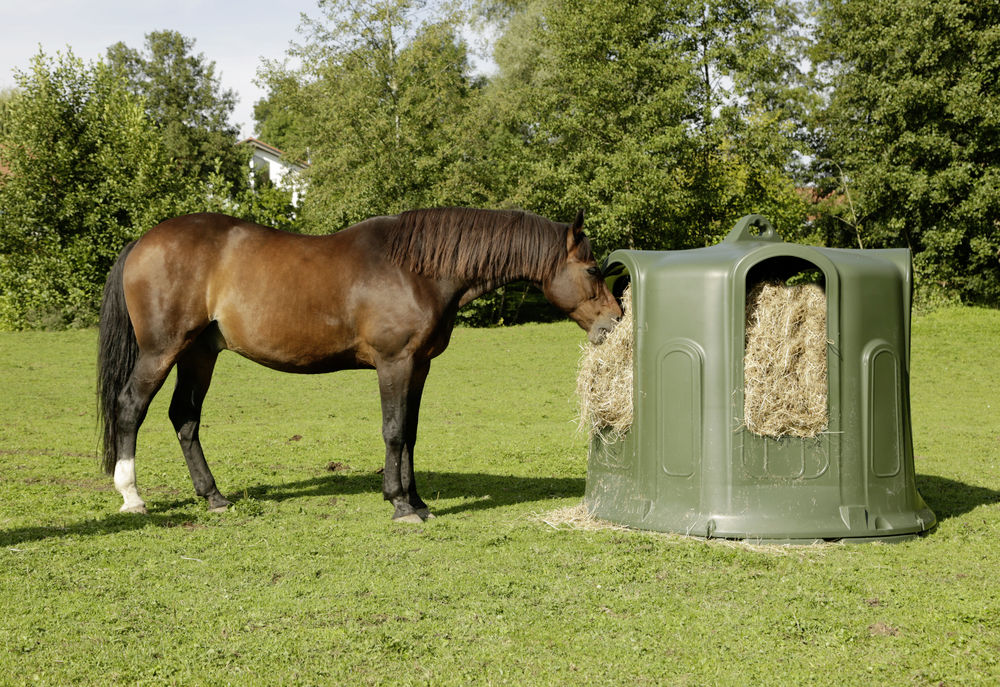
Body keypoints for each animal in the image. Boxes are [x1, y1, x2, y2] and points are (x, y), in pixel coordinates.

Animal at [97, 208, 620, 520]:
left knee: (185, 417)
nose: (615, 320)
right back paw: (132, 496)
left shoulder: (419, 366)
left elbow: (410, 432)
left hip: (199, 353)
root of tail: (143, 242)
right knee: (130, 408)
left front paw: (417, 500)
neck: (416, 269)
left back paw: (214, 497)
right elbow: (393, 431)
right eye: (593, 269)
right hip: (163, 350)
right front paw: (400, 505)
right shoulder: (394, 364)